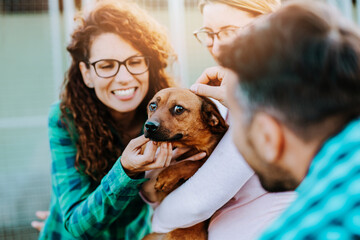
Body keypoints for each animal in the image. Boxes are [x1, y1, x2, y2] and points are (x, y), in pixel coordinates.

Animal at [141, 88, 228, 240]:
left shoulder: (203, 157)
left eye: (179, 109)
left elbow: (192, 163)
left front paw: (167, 176)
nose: (149, 126)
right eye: (152, 105)